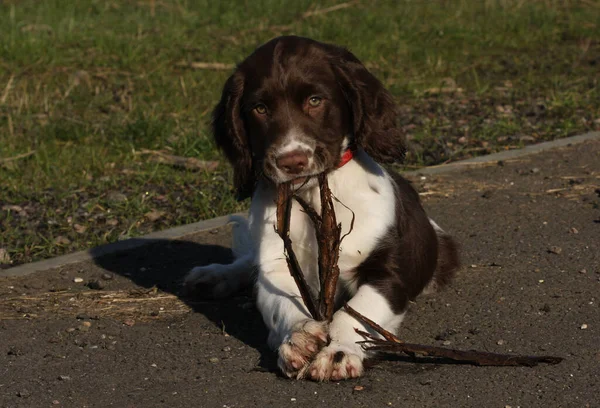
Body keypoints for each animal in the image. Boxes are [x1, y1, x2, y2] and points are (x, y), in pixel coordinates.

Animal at [185, 36, 462, 380]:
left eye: (315, 100)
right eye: (260, 109)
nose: (291, 161)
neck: (314, 194)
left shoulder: (391, 272)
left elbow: (355, 312)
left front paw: (338, 352)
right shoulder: (278, 267)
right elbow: (282, 304)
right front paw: (299, 338)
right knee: (250, 265)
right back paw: (215, 275)